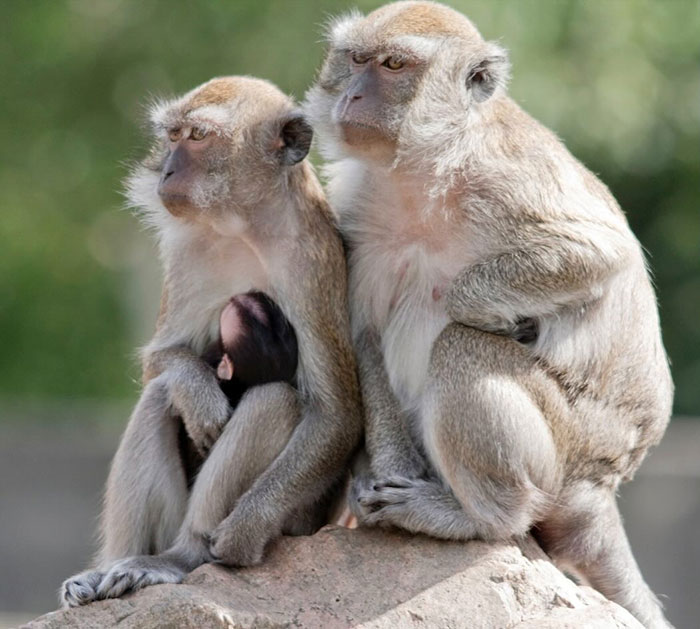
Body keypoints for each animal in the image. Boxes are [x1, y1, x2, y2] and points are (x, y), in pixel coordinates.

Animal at [60, 76, 362, 608]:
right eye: (173, 134)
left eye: (198, 137)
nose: (166, 168)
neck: (245, 227)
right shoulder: (187, 251)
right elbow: (160, 363)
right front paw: (198, 392)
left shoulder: (313, 262)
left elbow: (336, 414)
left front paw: (241, 533)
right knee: (158, 397)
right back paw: (115, 566)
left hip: (301, 521)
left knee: (275, 401)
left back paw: (186, 555)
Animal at [304, 2, 674, 627]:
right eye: (354, 60)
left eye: (394, 65)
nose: (352, 95)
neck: (423, 172)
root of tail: (604, 484)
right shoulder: (357, 211)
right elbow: (364, 332)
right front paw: (386, 471)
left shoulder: (506, 178)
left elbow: (600, 253)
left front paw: (490, 312)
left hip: (567, 450)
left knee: (462, 347)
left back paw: (482, 517)